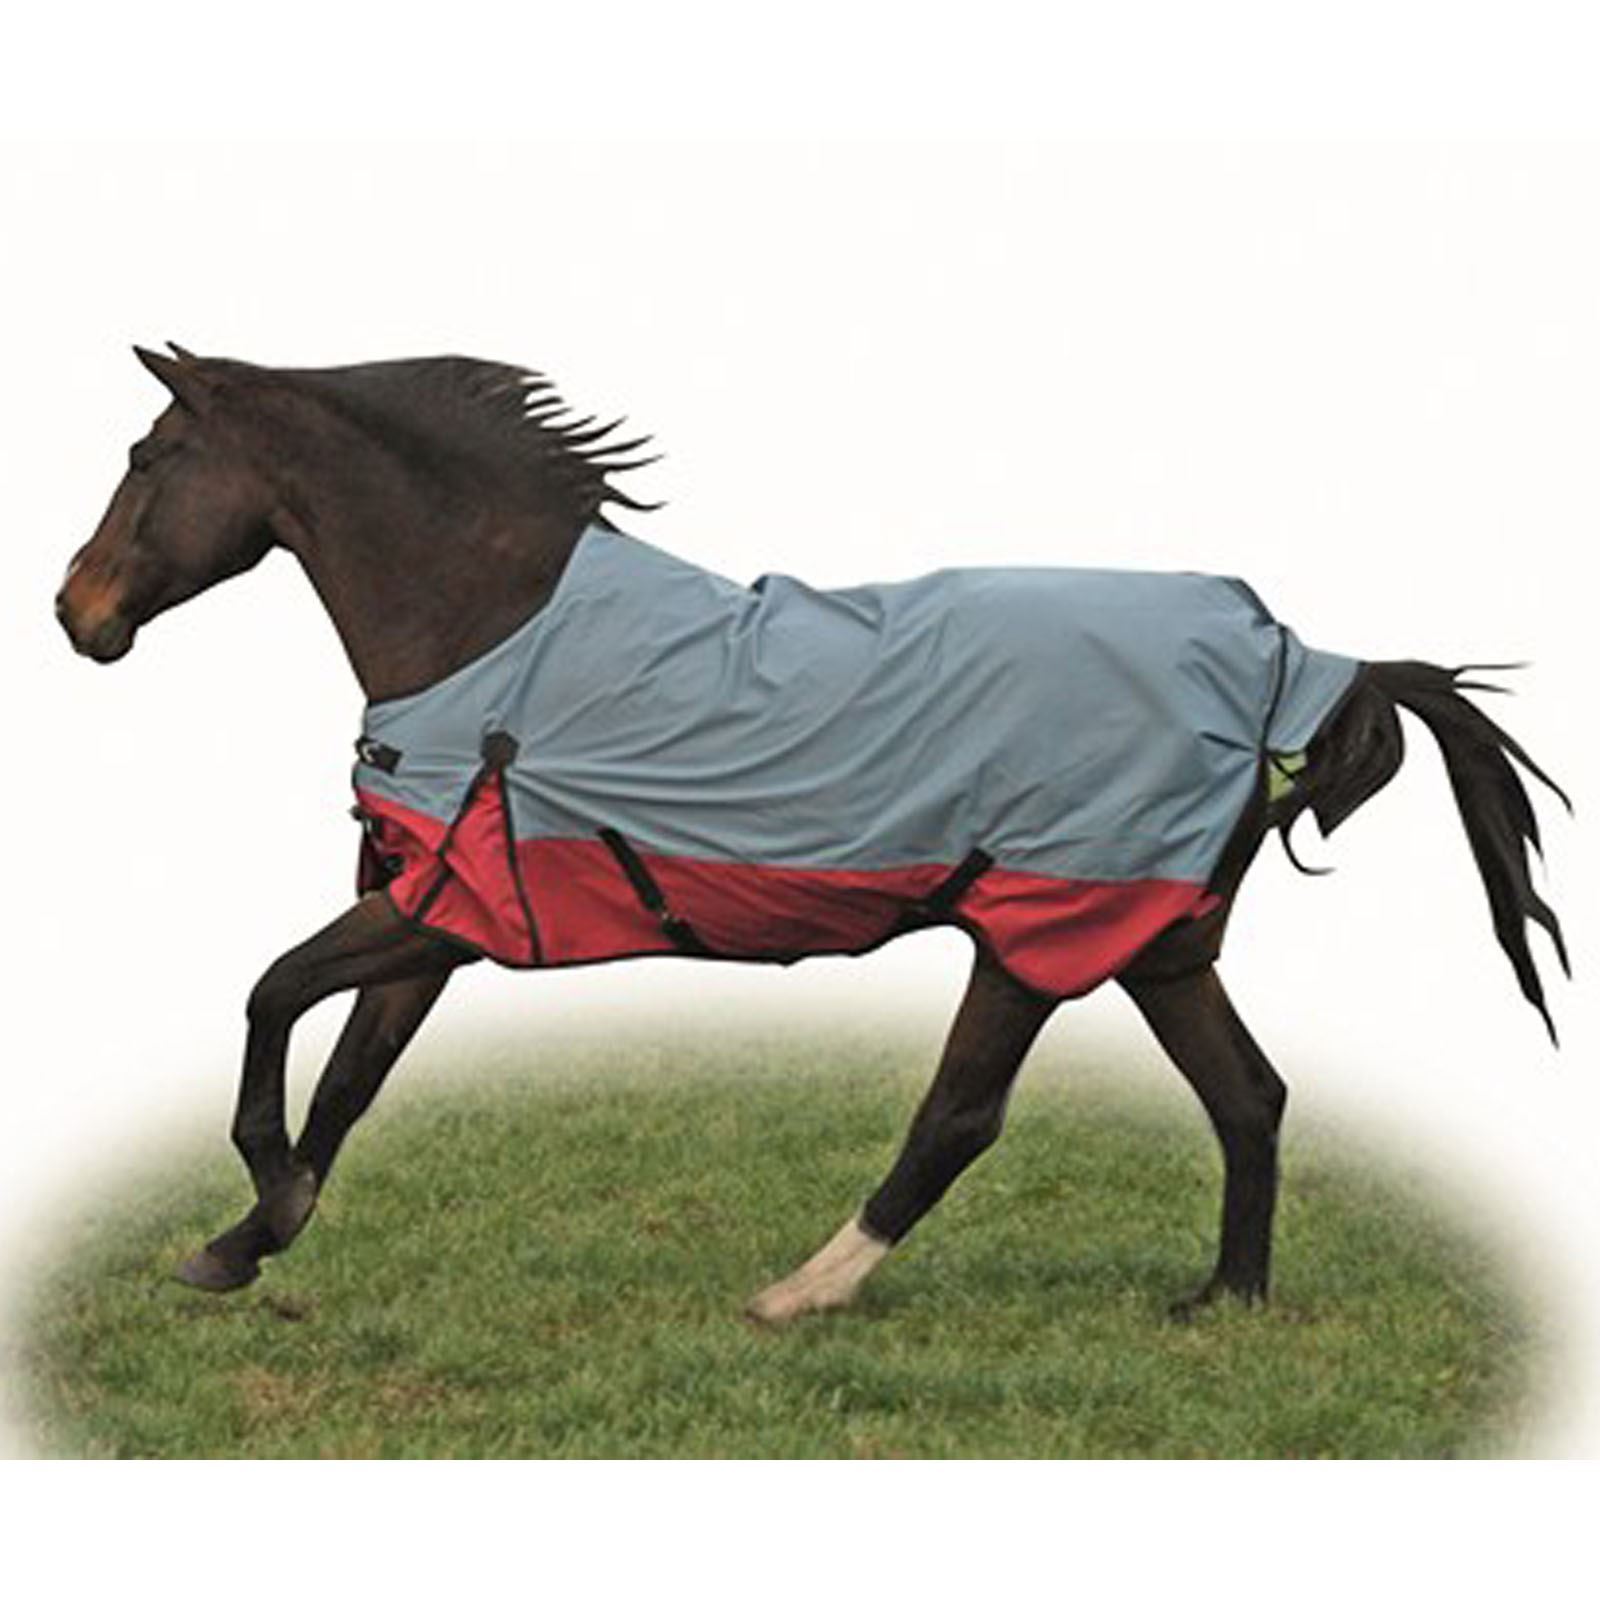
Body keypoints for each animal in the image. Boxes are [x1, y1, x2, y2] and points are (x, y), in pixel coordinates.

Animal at [55, 346, 1569, 1325]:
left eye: (149, 457)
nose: (78, 612)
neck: (493, 626)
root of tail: (1297, 665)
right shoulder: (444, 917)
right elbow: (349, 1076)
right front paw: (245, 1242)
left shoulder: (437, 908)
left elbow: (271, 999)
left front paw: (261, 1209)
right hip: (1163, 942)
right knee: (1248, 1097)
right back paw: (1225, 1303)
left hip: (1037, 931)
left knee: (963, 1115)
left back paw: (799, 1292)